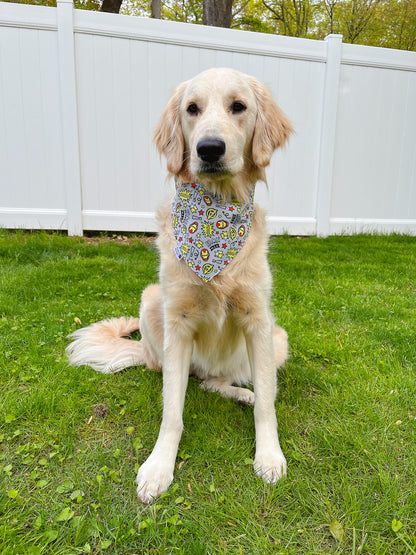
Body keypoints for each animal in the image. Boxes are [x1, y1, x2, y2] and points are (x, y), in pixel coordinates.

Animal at [66, 68, 292, 504]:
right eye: (192, 109)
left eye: (238, 106)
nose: (209, 148)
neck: (214, 218)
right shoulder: (179, 322)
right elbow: (172, 411)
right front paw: (159, 467)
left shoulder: (258, 319)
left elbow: (268, 409)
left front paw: (269, 455)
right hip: (152, 302)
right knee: (196, 381)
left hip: (278, 338)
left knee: (224, 384)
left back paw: (247, 393)